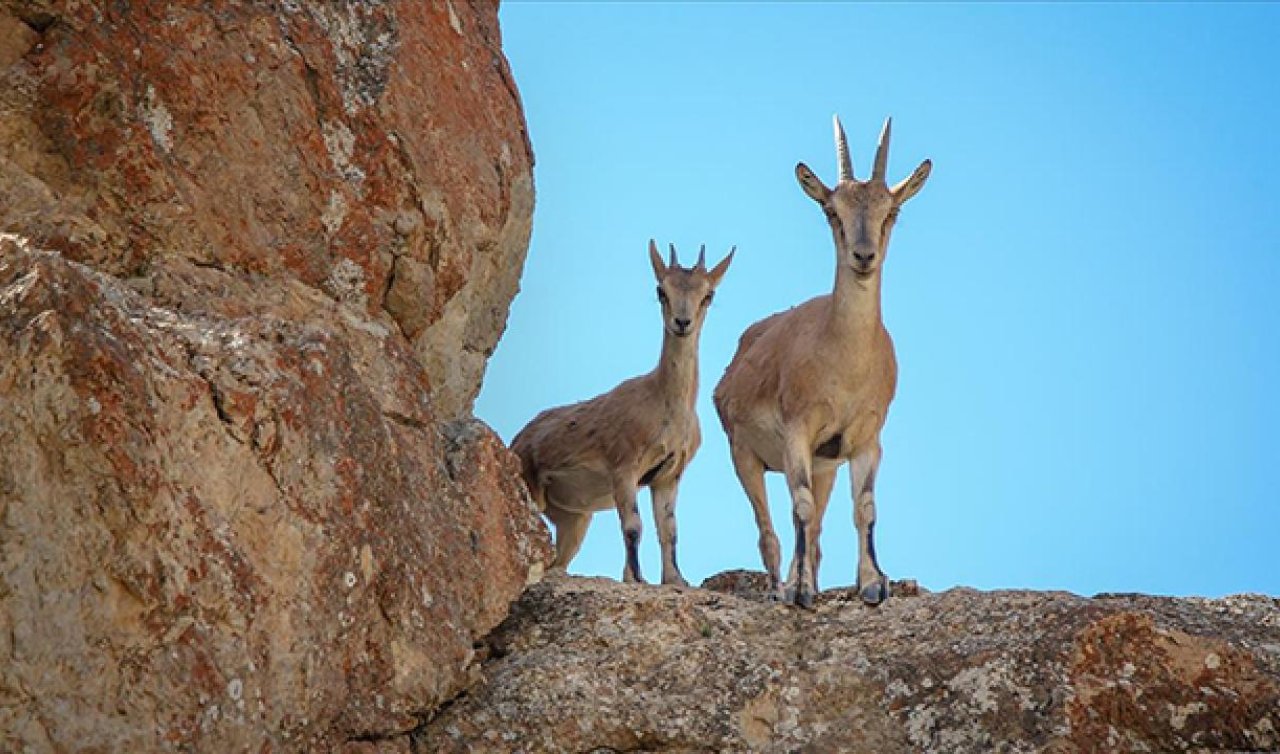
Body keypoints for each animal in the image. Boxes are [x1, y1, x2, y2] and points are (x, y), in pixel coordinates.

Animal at [509, 244, 732, 586]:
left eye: (708, 294)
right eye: (661, 291)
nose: (682, 322)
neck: (666, 405)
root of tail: (517, 441)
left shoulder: (668, 475)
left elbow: (669, 529)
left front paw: (674, 579)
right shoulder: (624, 466)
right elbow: (633, 526)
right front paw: (635, 577)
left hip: (575, 518)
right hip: (534, 491)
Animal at [711, 119, 931, 611]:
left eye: (891, 211)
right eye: (831, 211)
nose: (863, 256)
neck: (844, 364)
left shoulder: (864, 438)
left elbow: (864, 509)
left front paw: (873, 585)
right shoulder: (798, 430)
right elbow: (801, 506)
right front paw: (802, 592)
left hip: (825, 465)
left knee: (814, 536)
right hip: (744, 456)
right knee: (770, 533)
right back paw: (780, 588)